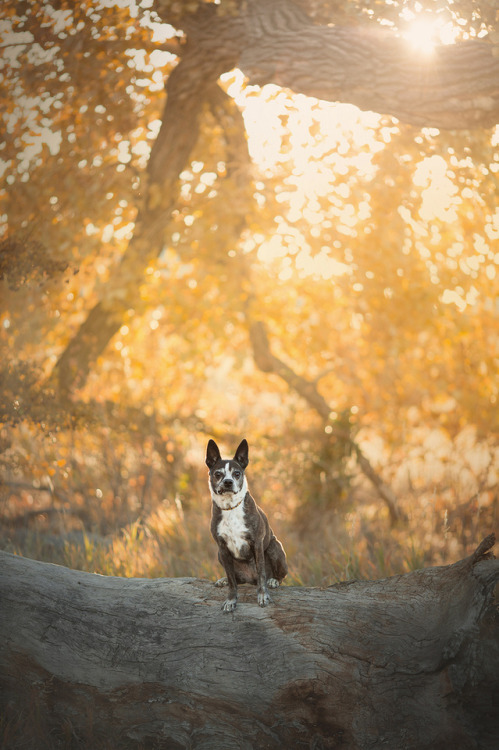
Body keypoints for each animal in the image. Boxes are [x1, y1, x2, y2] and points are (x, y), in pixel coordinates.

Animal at [205, 440, 288, 612]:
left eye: (237, 474)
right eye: (218, 474)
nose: (228, 482)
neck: (230, 508)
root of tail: (250, 579)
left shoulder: (256, 543)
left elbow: (262, 574)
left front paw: (262, 596)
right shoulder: (222, 548)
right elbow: (232, 581)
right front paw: (231, 600)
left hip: (274, 547)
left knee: (279, 575)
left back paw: (274, 580)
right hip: (219, 555)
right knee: (237, 579)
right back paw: (224, 580)